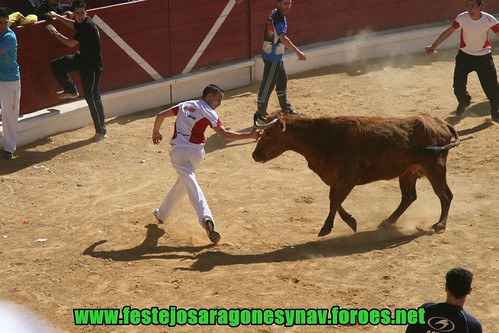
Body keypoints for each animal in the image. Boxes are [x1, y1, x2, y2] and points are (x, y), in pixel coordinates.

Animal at [254, 114, 460, 236]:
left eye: (268, 133)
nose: (255, 155)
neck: (323, 139)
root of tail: (441, 122)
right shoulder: (336, 179)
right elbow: (334, 200)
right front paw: (350, 221)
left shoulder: (348, 178)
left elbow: (335, 200)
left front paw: (327, 228)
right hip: (408, 172)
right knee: (409, 196)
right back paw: (388, 221)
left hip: (435, 167)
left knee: (445, 195)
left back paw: (440, 225)